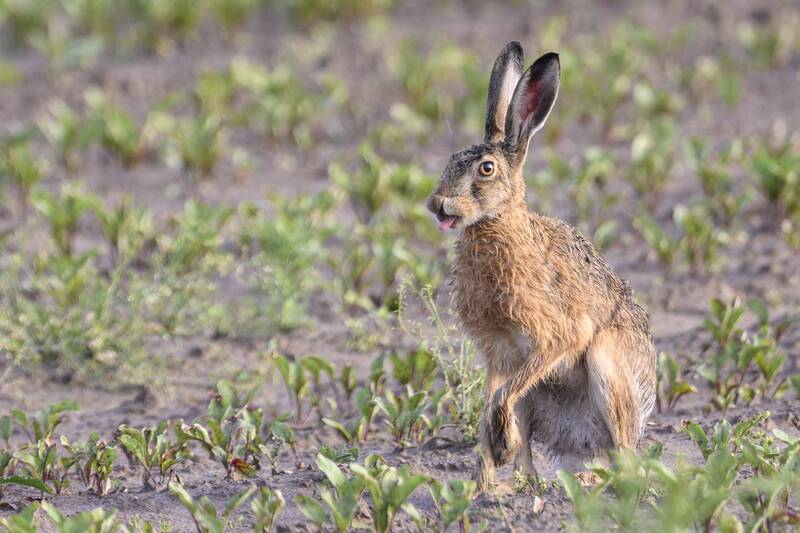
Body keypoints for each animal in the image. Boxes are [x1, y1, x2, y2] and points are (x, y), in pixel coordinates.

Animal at [426, 42, 656, 492]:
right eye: (450, 160)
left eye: (486, 169)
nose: (437, 204)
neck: (497, 224)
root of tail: (582, 447)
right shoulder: (498, 353)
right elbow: (491, 404)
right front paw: (491, 464)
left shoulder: (555, 336)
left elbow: (501, 397)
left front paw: (500, 446)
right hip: (539, 399)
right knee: (528, 455)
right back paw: (498, 487)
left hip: (607, 368)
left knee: (626, 456)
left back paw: (587, 480)